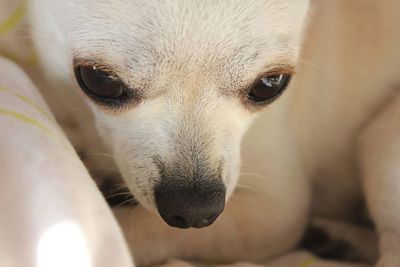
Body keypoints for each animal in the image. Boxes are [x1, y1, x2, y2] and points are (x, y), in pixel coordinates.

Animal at [3, 0, 400, 266]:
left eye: (271, 85)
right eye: (99, 80)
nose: (194, 208)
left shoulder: (276, 211)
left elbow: (141, 229)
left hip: (383, 140)